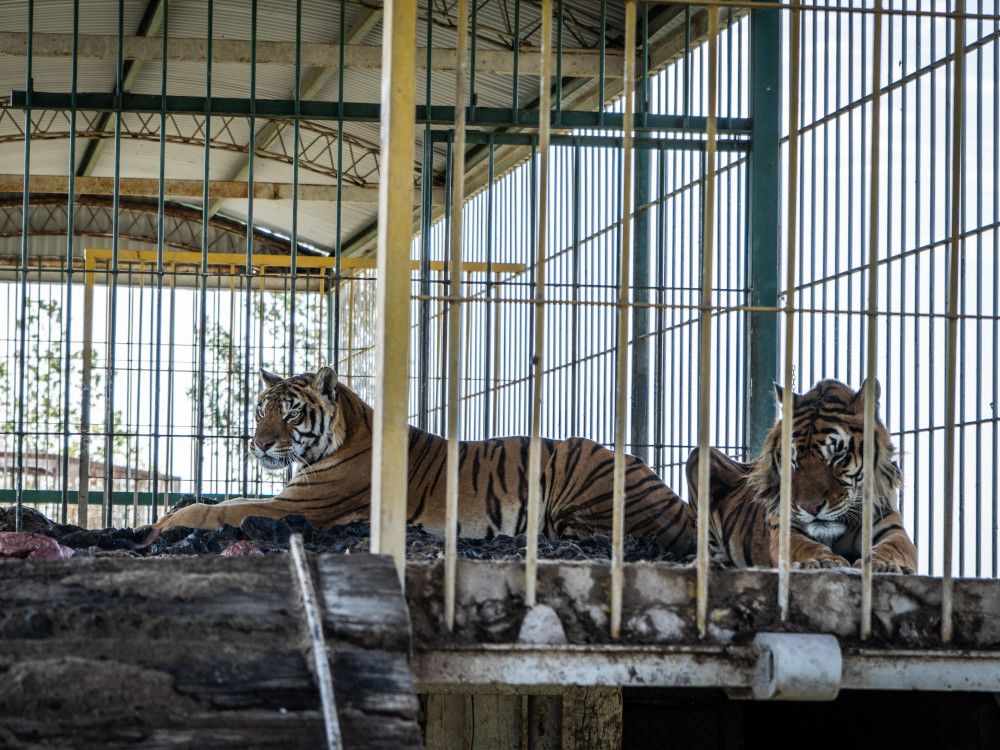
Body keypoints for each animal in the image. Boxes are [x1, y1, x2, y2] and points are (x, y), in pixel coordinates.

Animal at [148, 367, 698, 557]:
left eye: (290, 413)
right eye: (261, 410)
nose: (258, 445)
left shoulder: (295, 506)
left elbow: (221, 510)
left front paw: (162, 523)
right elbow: (223, 501)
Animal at [685, 378, 917, 573]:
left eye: (837, 455)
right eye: (792, 460)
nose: (811, 508)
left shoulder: (892, 527)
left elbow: (892, 547)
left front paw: (883, 565)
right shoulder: (785, 529)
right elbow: (806, 546)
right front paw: (824, 561)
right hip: (700, 456)